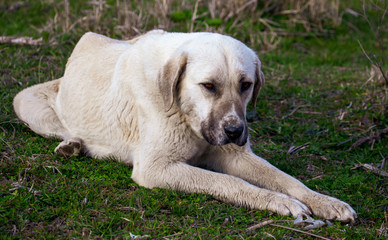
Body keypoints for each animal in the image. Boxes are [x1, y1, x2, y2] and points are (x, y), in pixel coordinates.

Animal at [13, 30, 356, 223]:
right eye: (208, 86)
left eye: (245, 85)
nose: (234, 131)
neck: (185, 113)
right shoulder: (156, 168)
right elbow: (231, 183)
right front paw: (279, 202)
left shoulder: (237, 155)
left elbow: (287, 180)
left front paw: (326, 202)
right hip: (25, 104)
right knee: (62, 128)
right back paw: (71, 145)